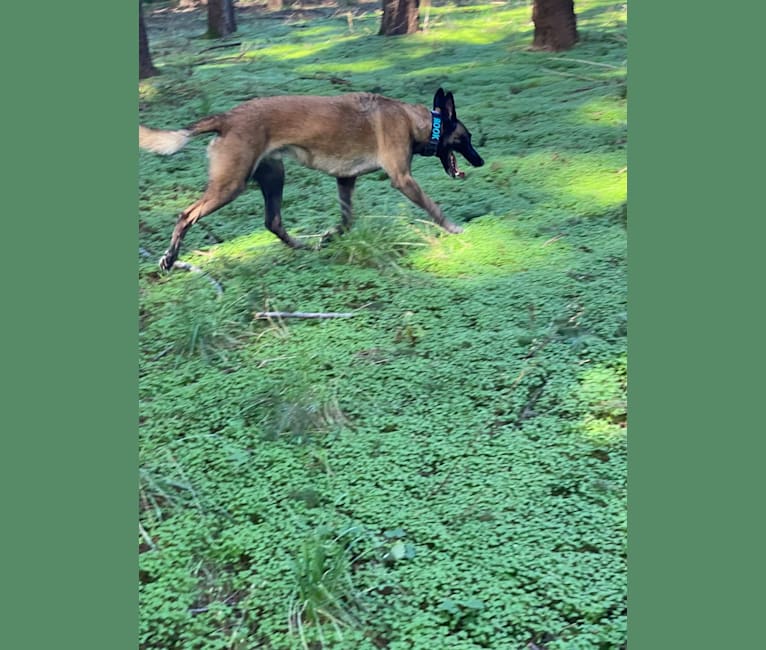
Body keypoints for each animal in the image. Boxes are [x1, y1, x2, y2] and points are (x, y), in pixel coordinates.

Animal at [140, 87, 486, 270]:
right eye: (467, 138)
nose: (480, 161)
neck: (415, 121)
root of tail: (226, 118)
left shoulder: (345, 180)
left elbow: (346, 220)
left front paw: (329, 237)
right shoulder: (403, 179)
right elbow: (433, 207)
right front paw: (454, 227)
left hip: (273, 177)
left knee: (273, 222)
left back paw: (304, 247)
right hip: (230, 186)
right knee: (186, 215)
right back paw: (170, 258)